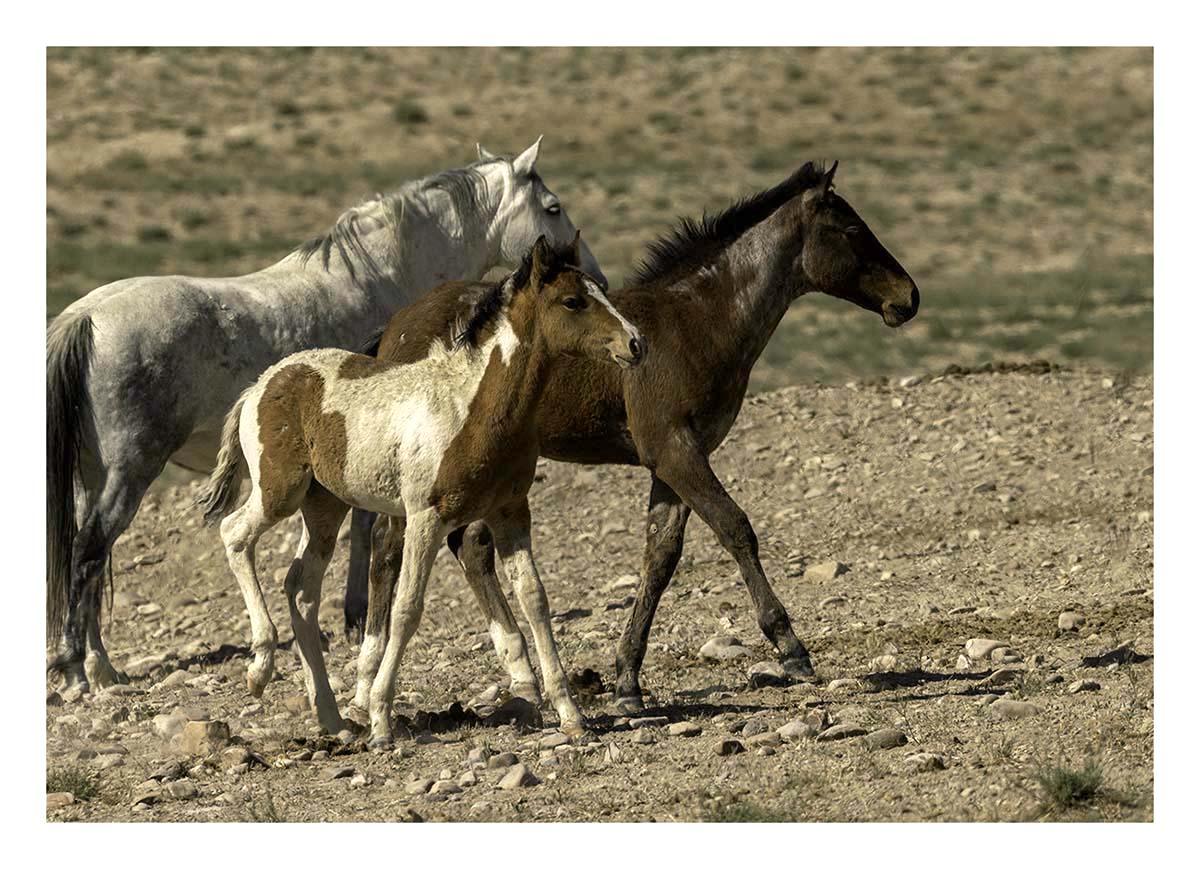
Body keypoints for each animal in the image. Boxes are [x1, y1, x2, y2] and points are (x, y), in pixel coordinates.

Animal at [46, 138, 605, 697]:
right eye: (553, 207)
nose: (595, 276)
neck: (383, 273)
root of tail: (84, 316)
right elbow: (365, 530)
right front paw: (358, 619)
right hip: (130, 473)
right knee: (90, 552)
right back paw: (82, 668)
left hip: (97, 476)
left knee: (87, 558)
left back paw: (100, 664)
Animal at [199, 236, 643, 745]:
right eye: (573, 301)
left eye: (600, 292)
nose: (636, 343)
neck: (472, 406)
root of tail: (260, 384)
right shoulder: (425, 517)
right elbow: (407, 608)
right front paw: (380, 718)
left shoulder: (511, 511)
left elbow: (535, 599)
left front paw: (572, 715)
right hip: (281, 492)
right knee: (235, 534)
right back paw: (261, 666)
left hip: (324, 507)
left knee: (300, 589)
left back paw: (331, 717)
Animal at [345, 161, 920, 714]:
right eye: (852, 228)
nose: (908, 297)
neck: (695, 321)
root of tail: (395, 327)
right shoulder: (674, 450)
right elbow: (735, 528)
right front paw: (790, 647)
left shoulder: (674, 460)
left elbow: (660, 556)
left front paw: (627, 679)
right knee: (390, 546)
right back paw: (366, 688)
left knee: (468, 547)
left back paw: (521, 677)